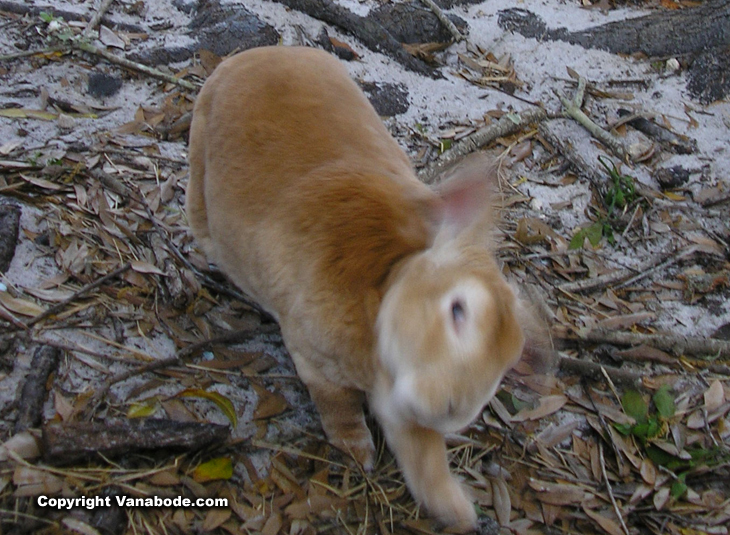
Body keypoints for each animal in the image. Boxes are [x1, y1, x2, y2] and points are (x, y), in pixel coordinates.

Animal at [186, 45, 527, 532]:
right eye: (457, 310)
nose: (453, 412)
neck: (385, 284)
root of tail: (253, 54)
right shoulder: (317, 363)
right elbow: (338, 406)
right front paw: (356, 452)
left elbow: (423, 461)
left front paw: (458, 511)